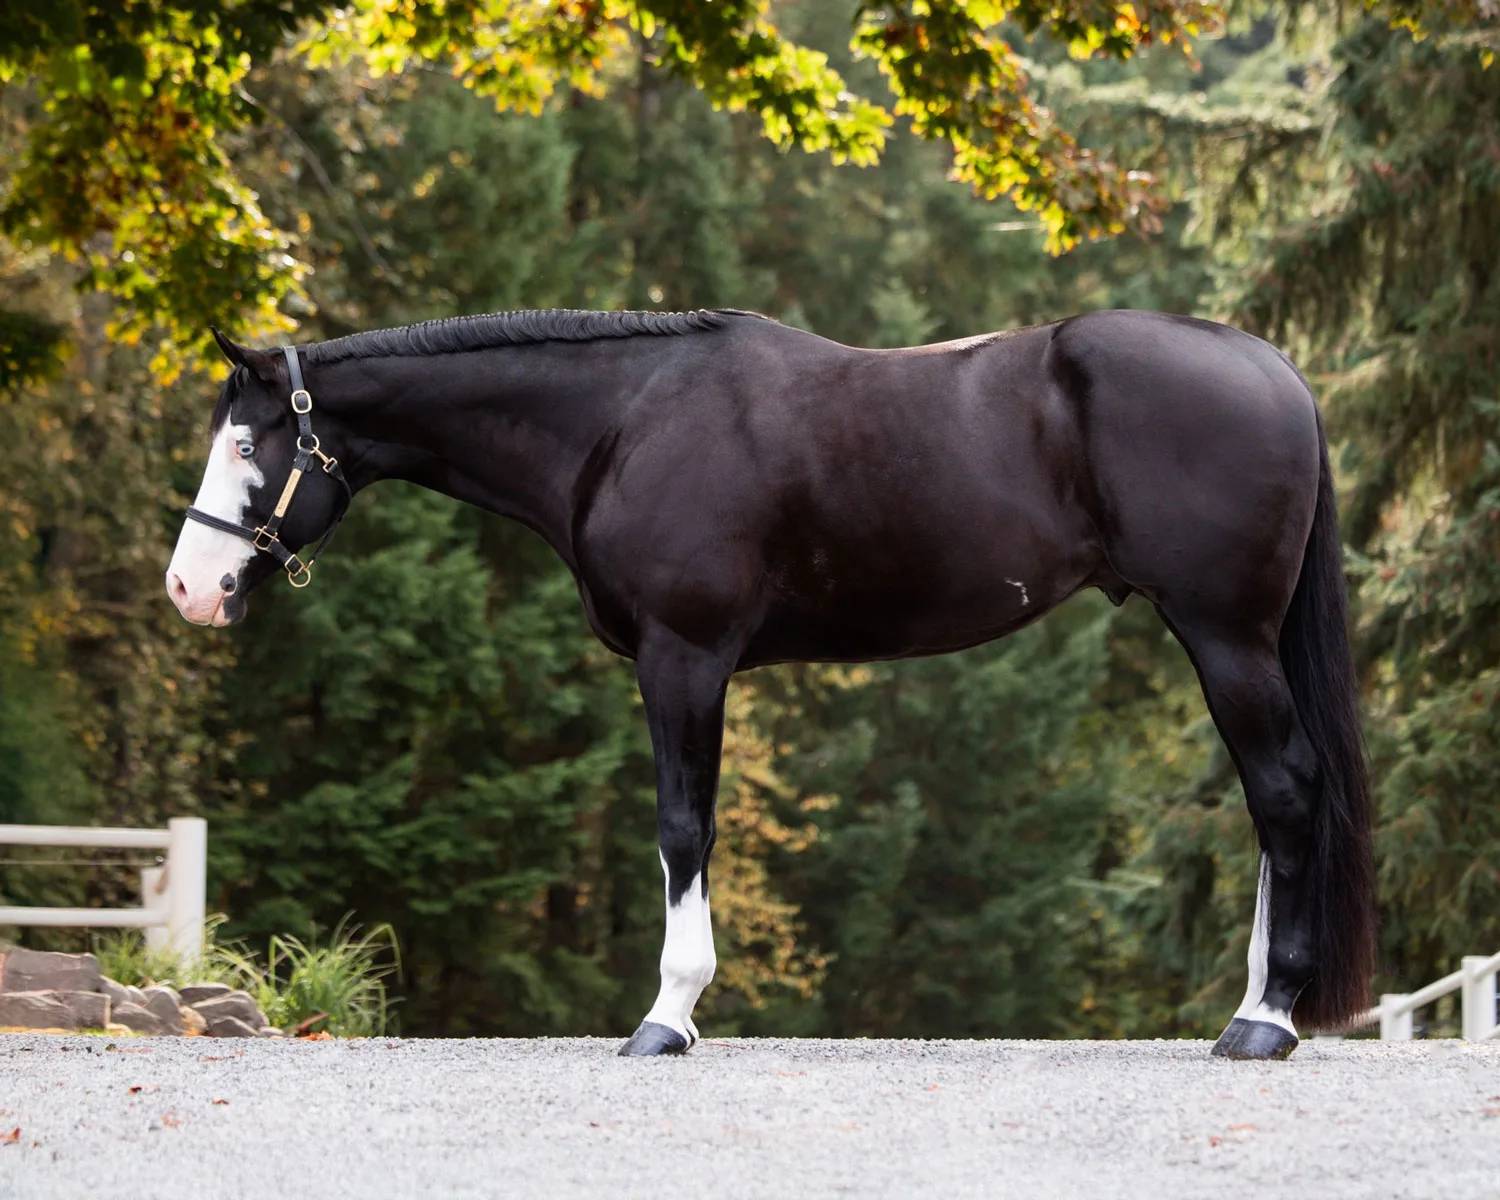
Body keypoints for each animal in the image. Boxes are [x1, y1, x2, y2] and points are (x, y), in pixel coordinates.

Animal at [165, 307, 1376, 1059]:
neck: (621, 422)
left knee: (1285, 791)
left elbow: (682, 828)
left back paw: (1266, 1019)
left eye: (247, 447)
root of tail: (1274, 371)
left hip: (1223, 633)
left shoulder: (686, 657)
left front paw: (668, 1017)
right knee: (1271, 802)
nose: (189, 588)